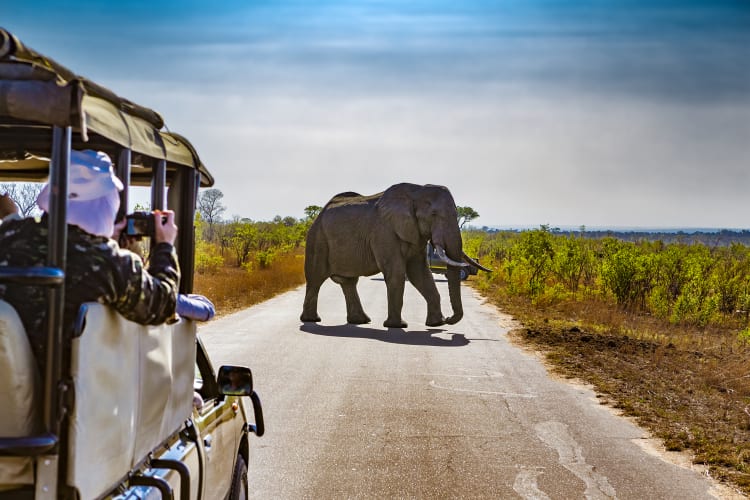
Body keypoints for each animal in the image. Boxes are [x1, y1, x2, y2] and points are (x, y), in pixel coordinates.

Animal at [302, 183, 490, 328]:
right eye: (434, 215)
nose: (450, 319)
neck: (417, 191)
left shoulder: (416, 235)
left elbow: (420, 273)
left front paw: (436, 324)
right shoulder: (384, 232)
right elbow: (396, 273)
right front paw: (398, 326)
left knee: (348, 282)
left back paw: (361, 321)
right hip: (317, 240)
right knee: (316, 279)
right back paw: (312, 320)